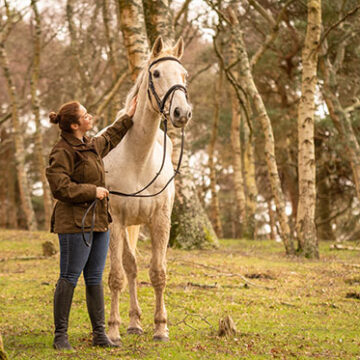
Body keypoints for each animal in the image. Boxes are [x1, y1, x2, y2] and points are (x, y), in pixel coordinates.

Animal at [101, 37, 191, 344]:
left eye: (184, 75)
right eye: (156, 73)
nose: (181, 113)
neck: (138, 159)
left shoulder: (160, 221)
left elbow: (158, 273)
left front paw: (161, 328)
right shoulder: (115, 222)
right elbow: (117, 276)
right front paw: (113, 330)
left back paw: (136, 324)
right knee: (129, 268)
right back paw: (130, 324)